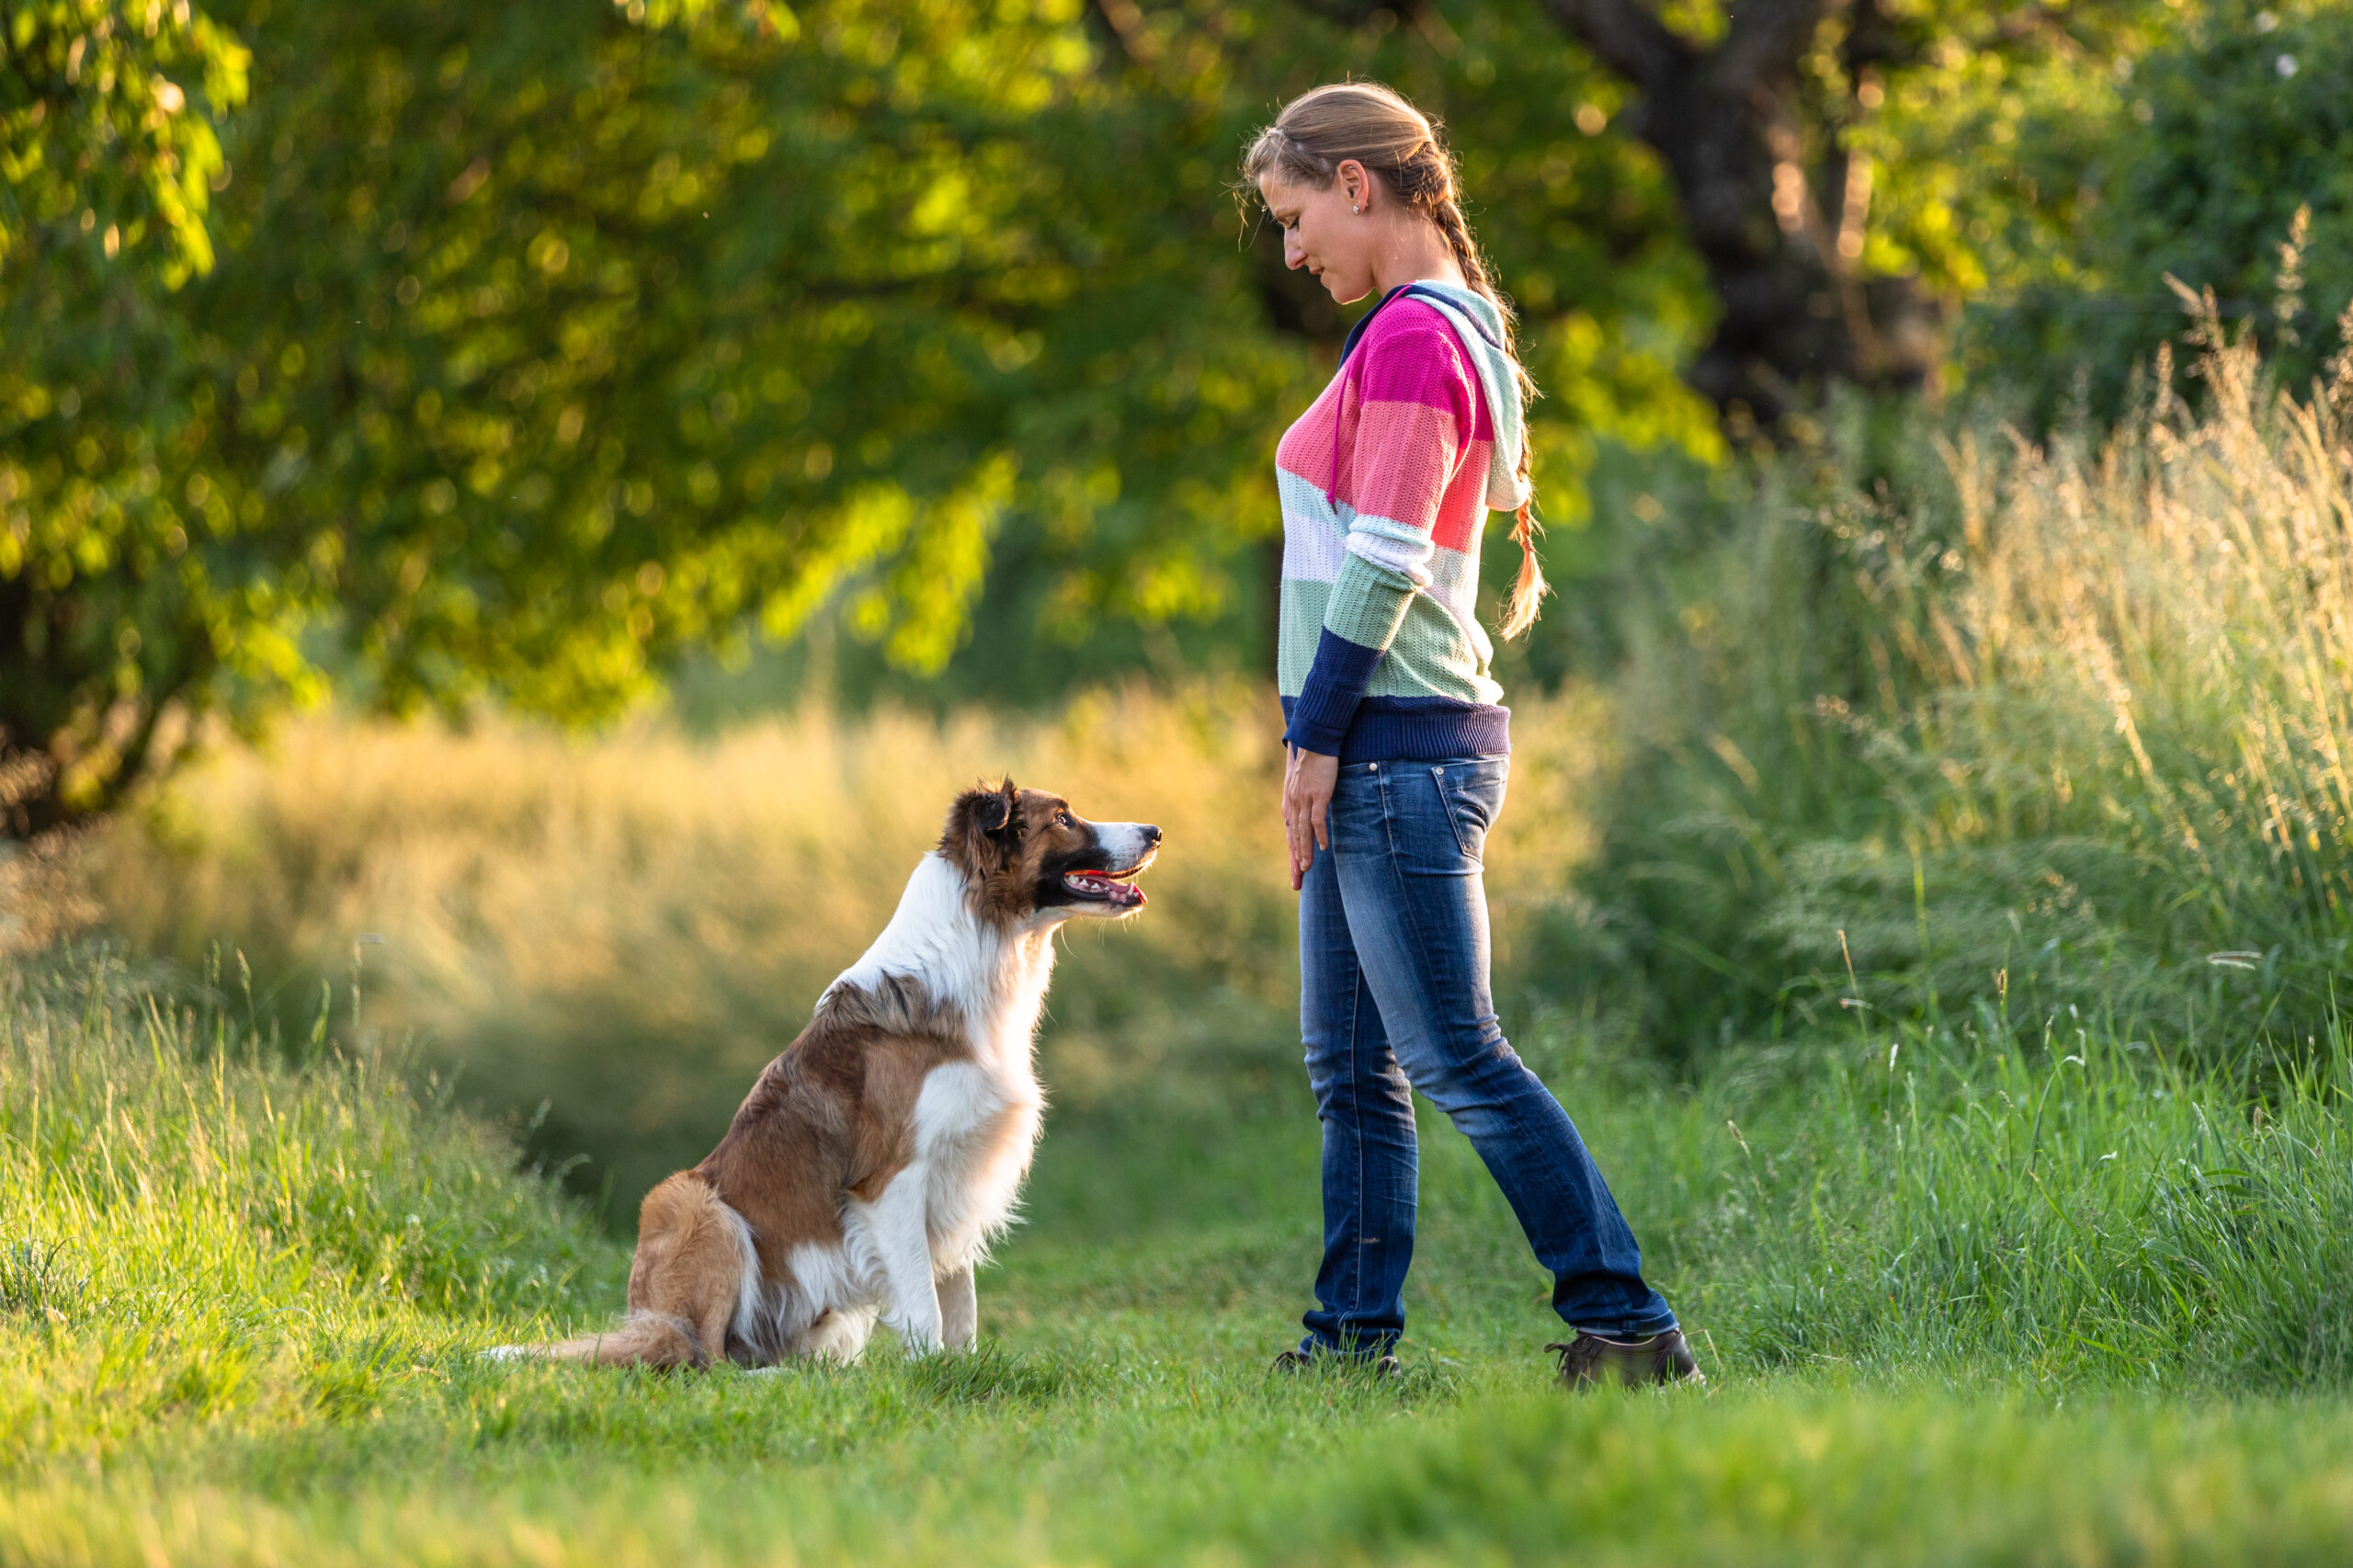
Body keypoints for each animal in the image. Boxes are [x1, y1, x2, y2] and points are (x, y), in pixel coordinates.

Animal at [489, 777, 1157, 1365]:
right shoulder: (893, 1183)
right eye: (1063, 817)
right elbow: (925, 1304)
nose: (1155, 830)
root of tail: (646, 1316)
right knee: (699, 1357)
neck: (982, 942)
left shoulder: (960, 1173)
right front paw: (929, 1377)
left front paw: (963, 1373)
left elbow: (961, 1305)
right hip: (691, 1202)